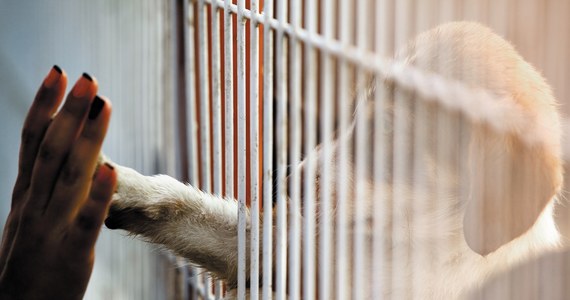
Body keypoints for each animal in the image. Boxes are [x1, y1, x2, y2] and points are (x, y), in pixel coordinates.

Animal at [100, 22, 560, 298]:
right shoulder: (285, 253)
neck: (408, 246)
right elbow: (190, 207)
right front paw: (124, 186)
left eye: (387, 128)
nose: (284, 182)